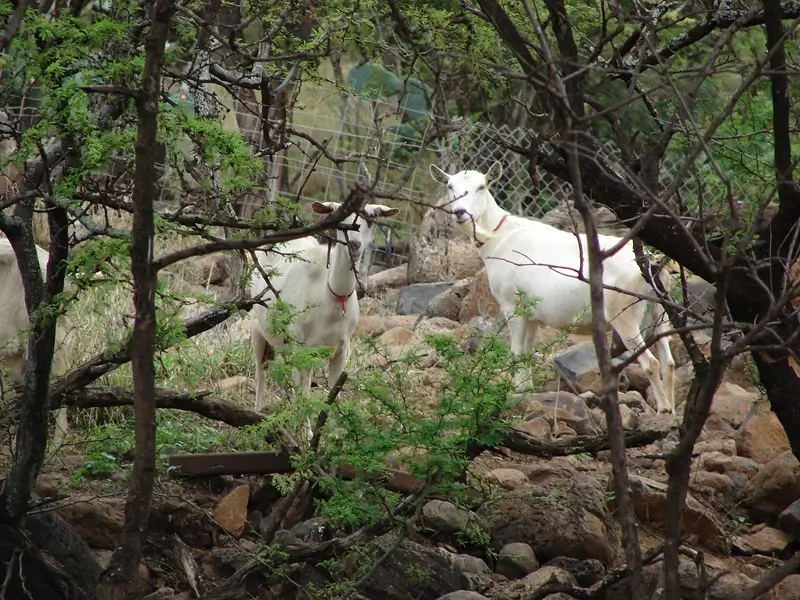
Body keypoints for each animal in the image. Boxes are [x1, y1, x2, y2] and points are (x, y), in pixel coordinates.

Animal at [250, 201, 400, 423]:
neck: (332, 298)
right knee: (261, 373)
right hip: (258, 328)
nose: (354, 245)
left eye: (371, 220)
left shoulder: (342, 348)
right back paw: (258, 412)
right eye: (340, 220)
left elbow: (332, 392)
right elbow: (304, 395)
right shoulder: (303, 348)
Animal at [429, 161, 676, 414]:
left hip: (624, 313)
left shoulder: (512, 305)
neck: (498, 237)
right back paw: (672, 411)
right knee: (668, 361)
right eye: (449, 186)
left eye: (482, 186)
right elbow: (527, 353)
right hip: (660, 311)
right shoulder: (532, 314)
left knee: (651, 362)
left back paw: (664, 409)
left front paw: (516, 394)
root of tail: (653, 265)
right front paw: (527, 393)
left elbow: (516, 352)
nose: (460, 212)